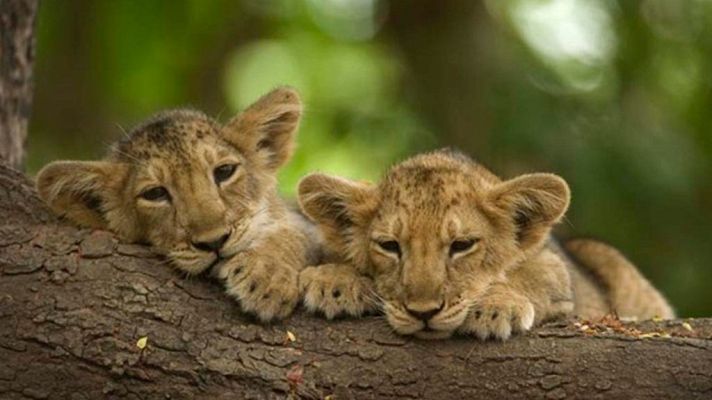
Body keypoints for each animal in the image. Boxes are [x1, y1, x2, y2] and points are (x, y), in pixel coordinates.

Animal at [297, 149, 674, 339]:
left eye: (462, 245)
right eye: (390, 246)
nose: (423, 313)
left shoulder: (557, 273)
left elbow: (530, 276)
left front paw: (494, 307)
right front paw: (335, 281)